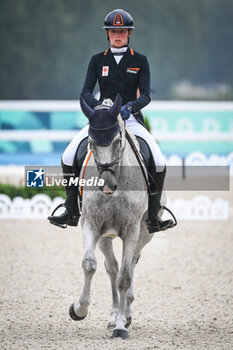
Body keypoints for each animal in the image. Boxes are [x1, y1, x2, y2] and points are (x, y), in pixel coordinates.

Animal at [69, 95, 155, 340]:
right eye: (91, 141)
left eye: (117, 140)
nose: (106, 186)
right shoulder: (91, 224)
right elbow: (89, 265)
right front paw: (79, 309)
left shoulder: (132, 230)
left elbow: (125, 278)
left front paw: (120, 328)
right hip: (105, 237)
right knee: (112, 268)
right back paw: (116, 314)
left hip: (143, 235)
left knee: (130, 265)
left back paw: (125, 316)